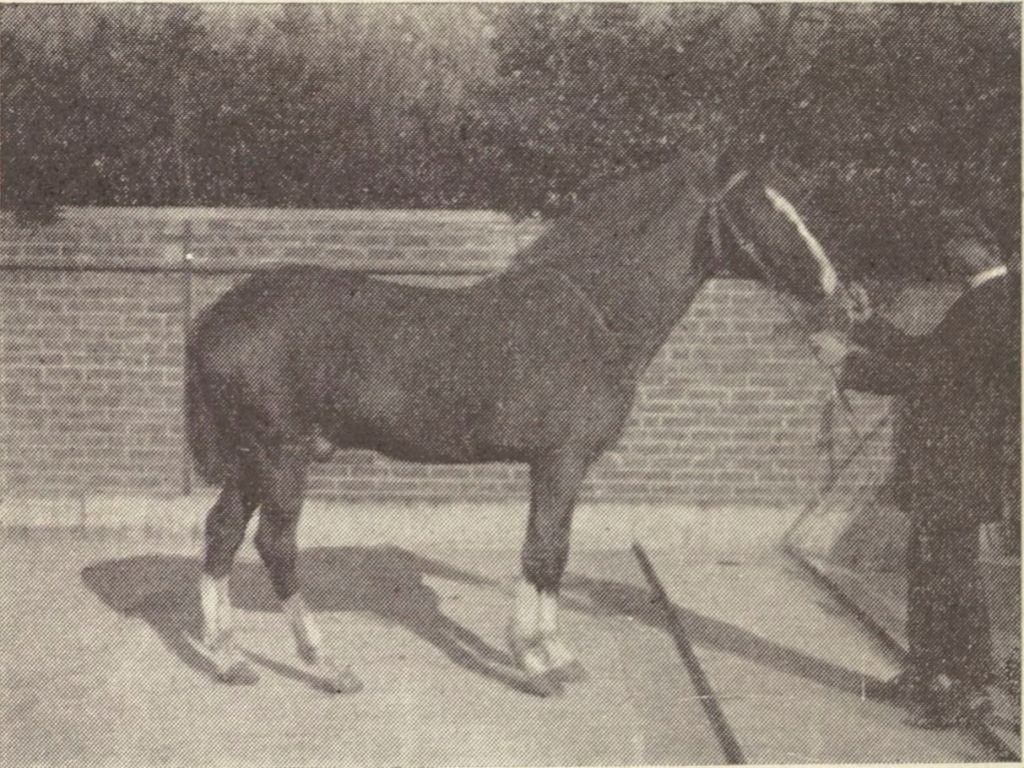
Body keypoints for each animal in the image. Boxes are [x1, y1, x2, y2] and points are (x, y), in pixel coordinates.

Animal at [185, 148, 841, 695]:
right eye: (761, 208)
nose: (833, 286)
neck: (594, 313)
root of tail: (217, 316)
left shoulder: (563, 466)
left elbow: (555, 550)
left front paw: (556, 653)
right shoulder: (559, 460)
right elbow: (542, 551)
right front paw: (534, 661)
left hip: (252, 460)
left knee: (221, 533)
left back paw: (227, 657)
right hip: (281, 457)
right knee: (275, 545)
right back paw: (325, 665)